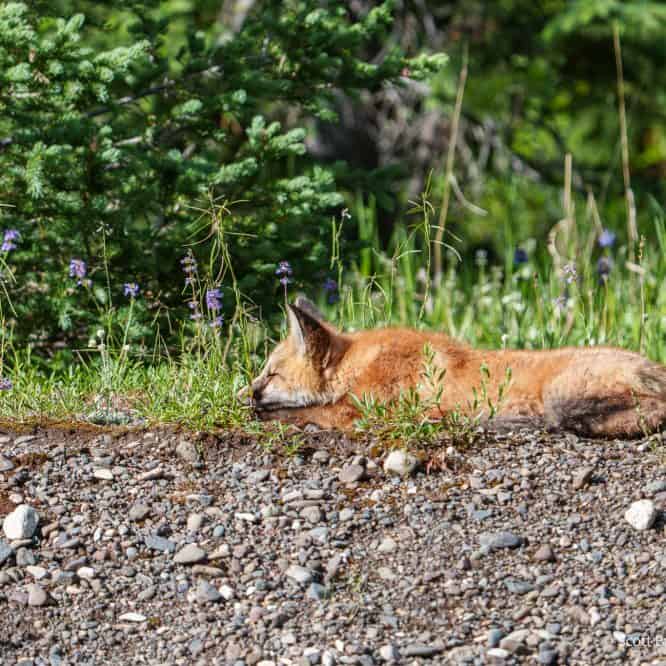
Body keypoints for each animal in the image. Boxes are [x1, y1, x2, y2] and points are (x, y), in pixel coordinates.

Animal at [245, 297, 666, 439]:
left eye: (271, 373)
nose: (245, 394)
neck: (356, 365)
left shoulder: (366, 414)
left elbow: (303, 415)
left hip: (562, 398)